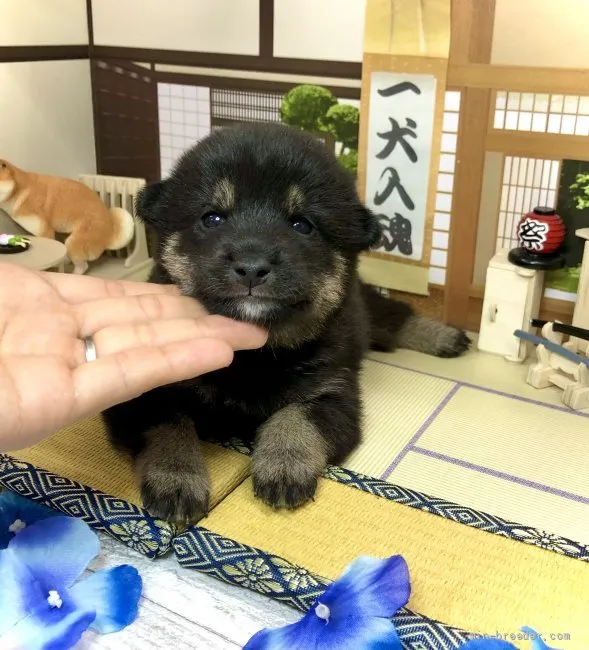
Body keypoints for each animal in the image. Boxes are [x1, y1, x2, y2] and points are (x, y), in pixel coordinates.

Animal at [101, 121, 468, 520]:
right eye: (212, 218)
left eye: (302, 225)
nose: (252, 266)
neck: (252, 357)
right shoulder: (144, 395)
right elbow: (169, 426)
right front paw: (176, 477)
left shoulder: (333, 392)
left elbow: (297, 418)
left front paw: (284, 463)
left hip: (368, 309)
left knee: (397, 316)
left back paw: (445, 336)